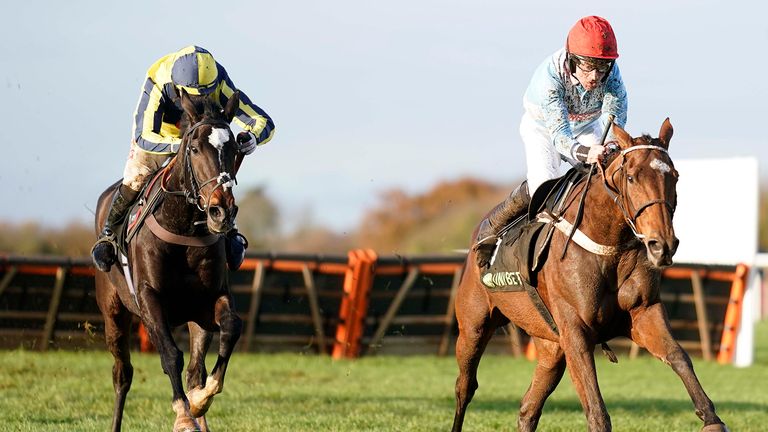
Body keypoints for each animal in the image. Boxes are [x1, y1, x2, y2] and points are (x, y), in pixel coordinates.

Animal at [94, 89, 243, 430]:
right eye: (194, 148)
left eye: (233, 148)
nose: (221, 211)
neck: (183, 226)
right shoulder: (150, 299)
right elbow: (170, 355)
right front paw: (184, 415)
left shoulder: (210, 300)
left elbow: (230, 329)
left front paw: (199, 401)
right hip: (114, 312)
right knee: (122, 373)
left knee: (195, 369)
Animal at [450, 119, 728, 432]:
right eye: (631, 177)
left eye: (675, 176)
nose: (662, 244)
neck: (609, 246)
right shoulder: (575, 330)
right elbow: (596, 411)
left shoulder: (643, 312)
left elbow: (679, 356)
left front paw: (712, 419)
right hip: (474, 326)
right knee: (465, 386)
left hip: (551, 347)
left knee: (528, 408)